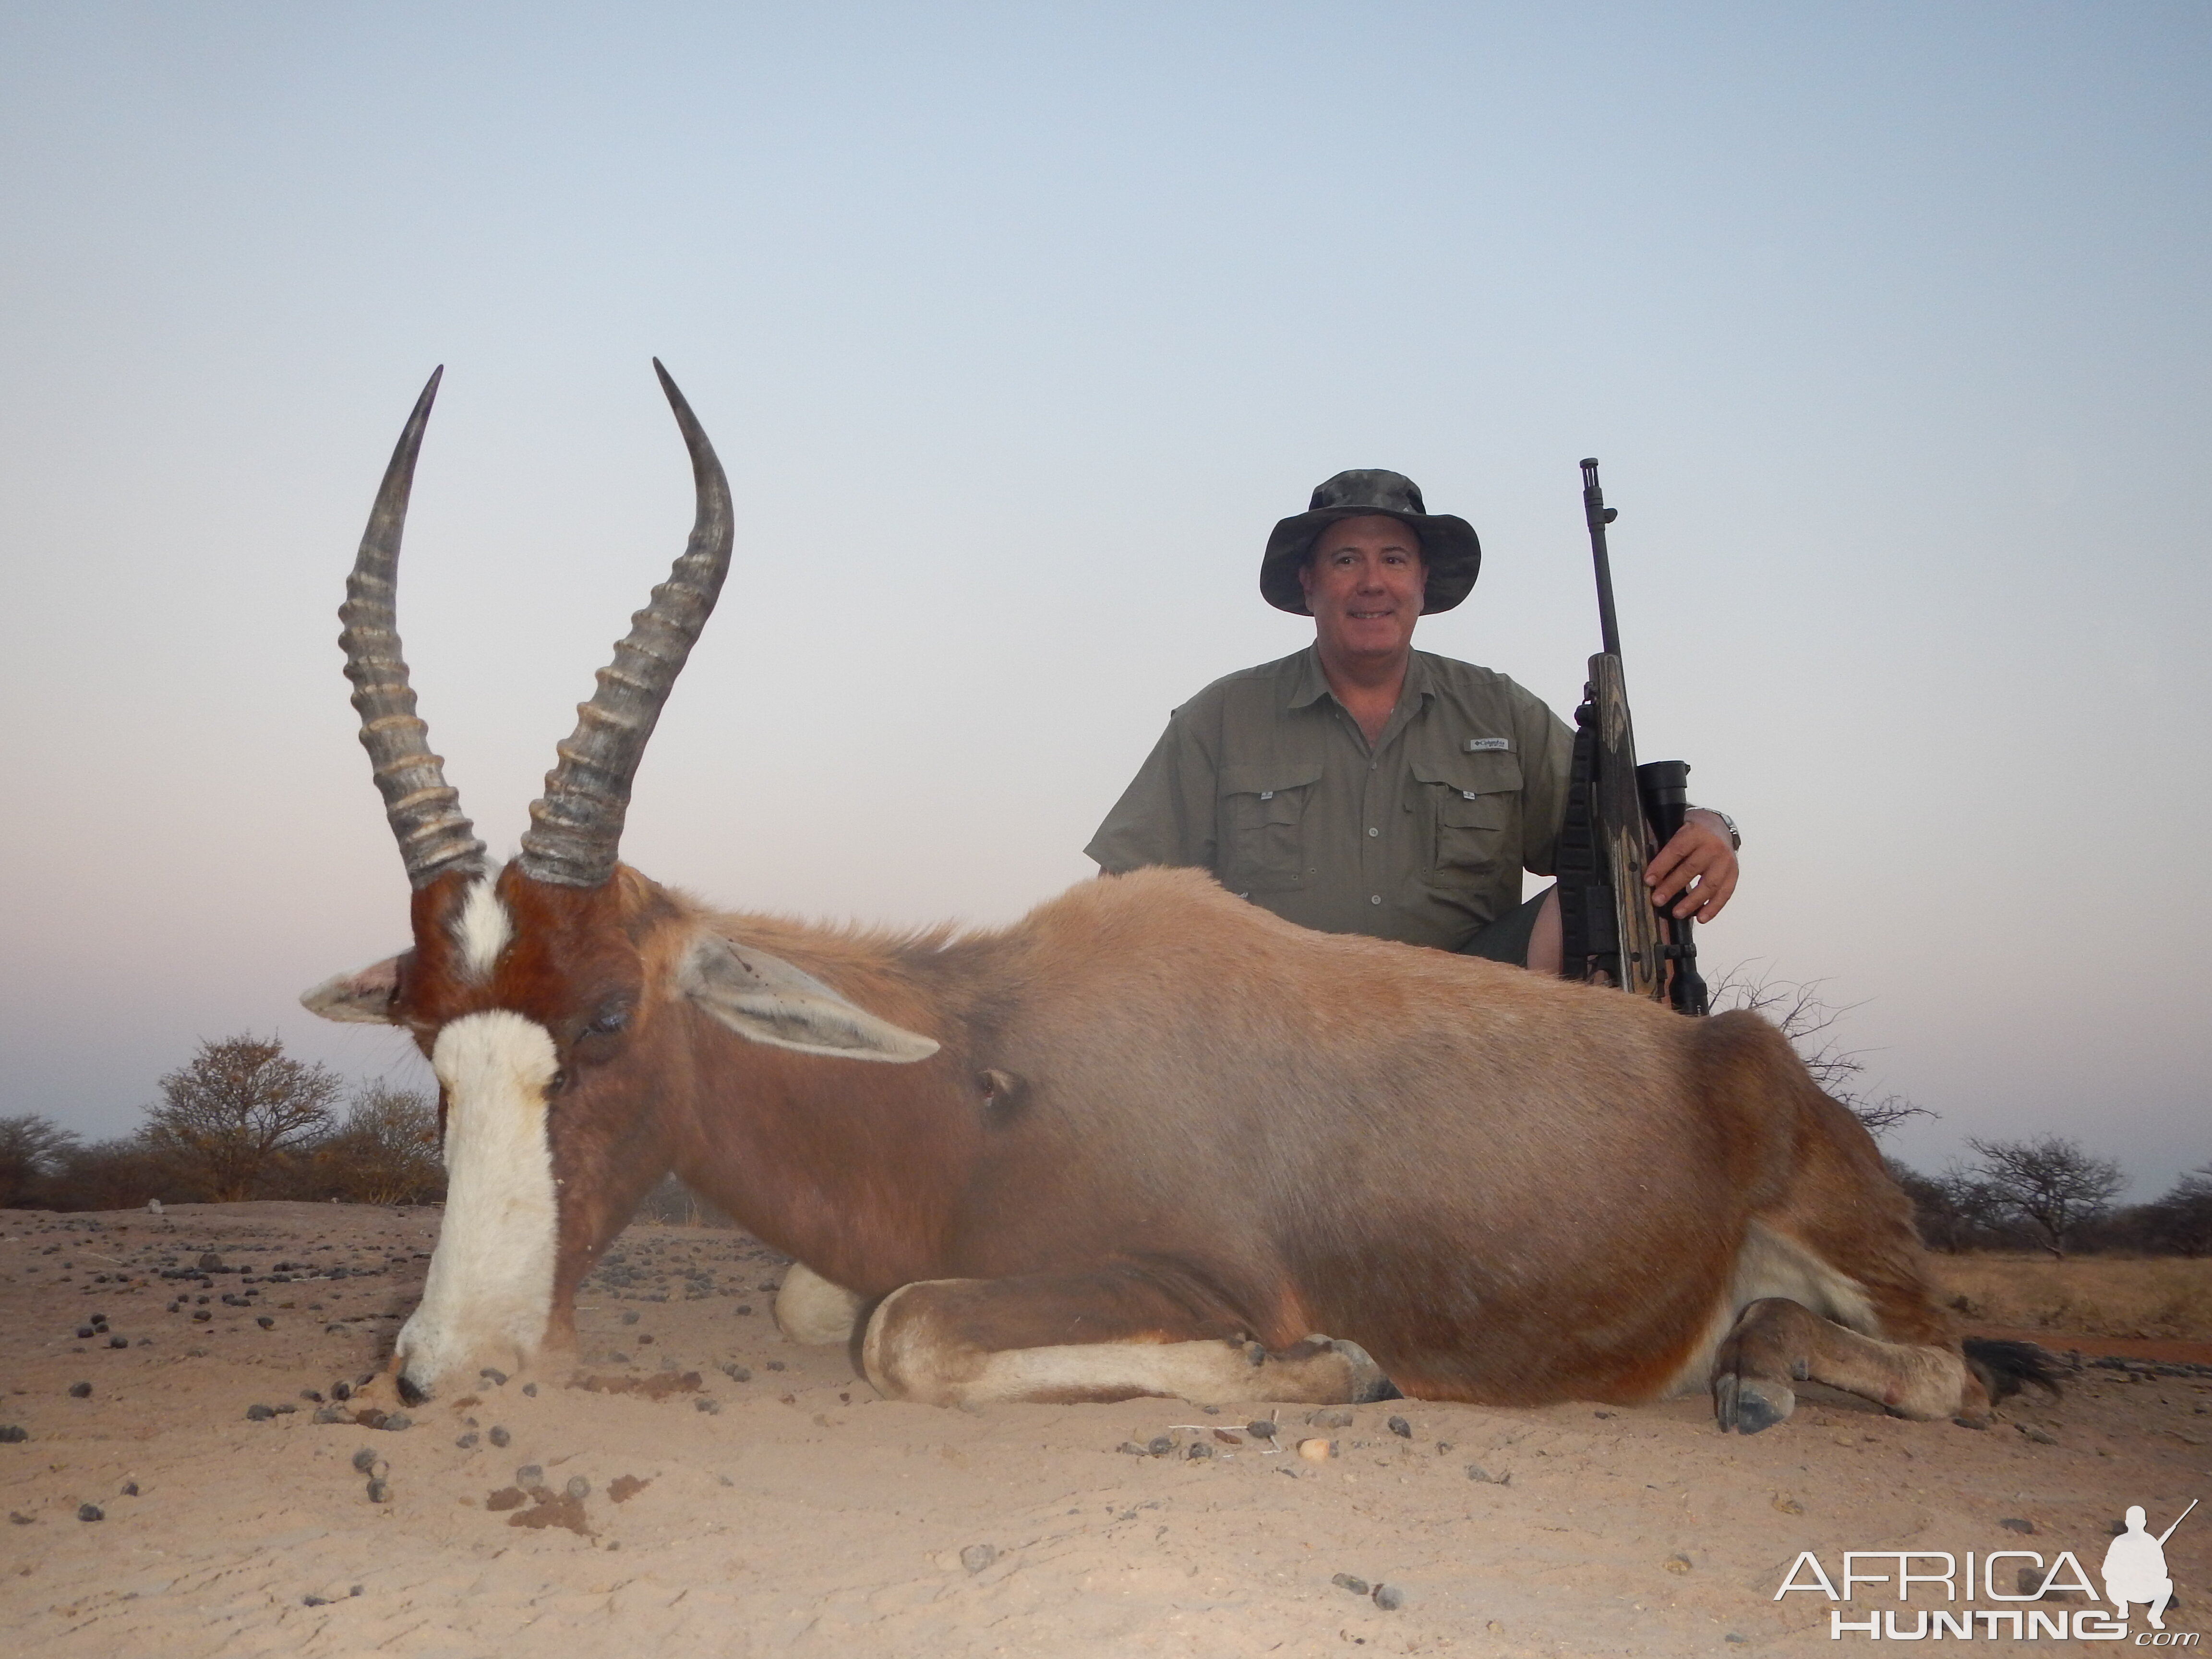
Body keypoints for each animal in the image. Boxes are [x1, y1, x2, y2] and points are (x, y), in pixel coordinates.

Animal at [303, 369, 2044, 1433]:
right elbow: (824, 1306)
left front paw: (1338, 1369)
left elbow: (907, 1329)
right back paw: (1747, 1369)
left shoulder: (1192, 1273)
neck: (985, 1067)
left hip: (1852, 1240)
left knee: (1951, 1368)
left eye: (608, 1013)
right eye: (422, 1034)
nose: (446, 1368)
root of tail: (1733, 1054)